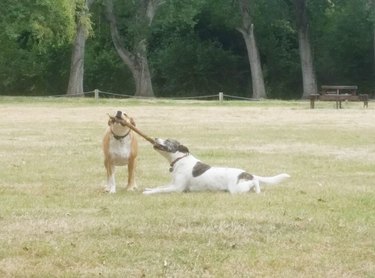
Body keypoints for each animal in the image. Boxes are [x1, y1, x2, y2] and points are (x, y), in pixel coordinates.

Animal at [144, 138, 290, 194]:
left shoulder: (177, 188)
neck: (180, 160)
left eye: (168, 140)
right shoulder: (172, 184)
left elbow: (160, 190)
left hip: (237, 189)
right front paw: (148, 188)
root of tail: (248, 174)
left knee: (255, 183)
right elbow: (159, 187)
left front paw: (148, 193)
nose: (155, 138)